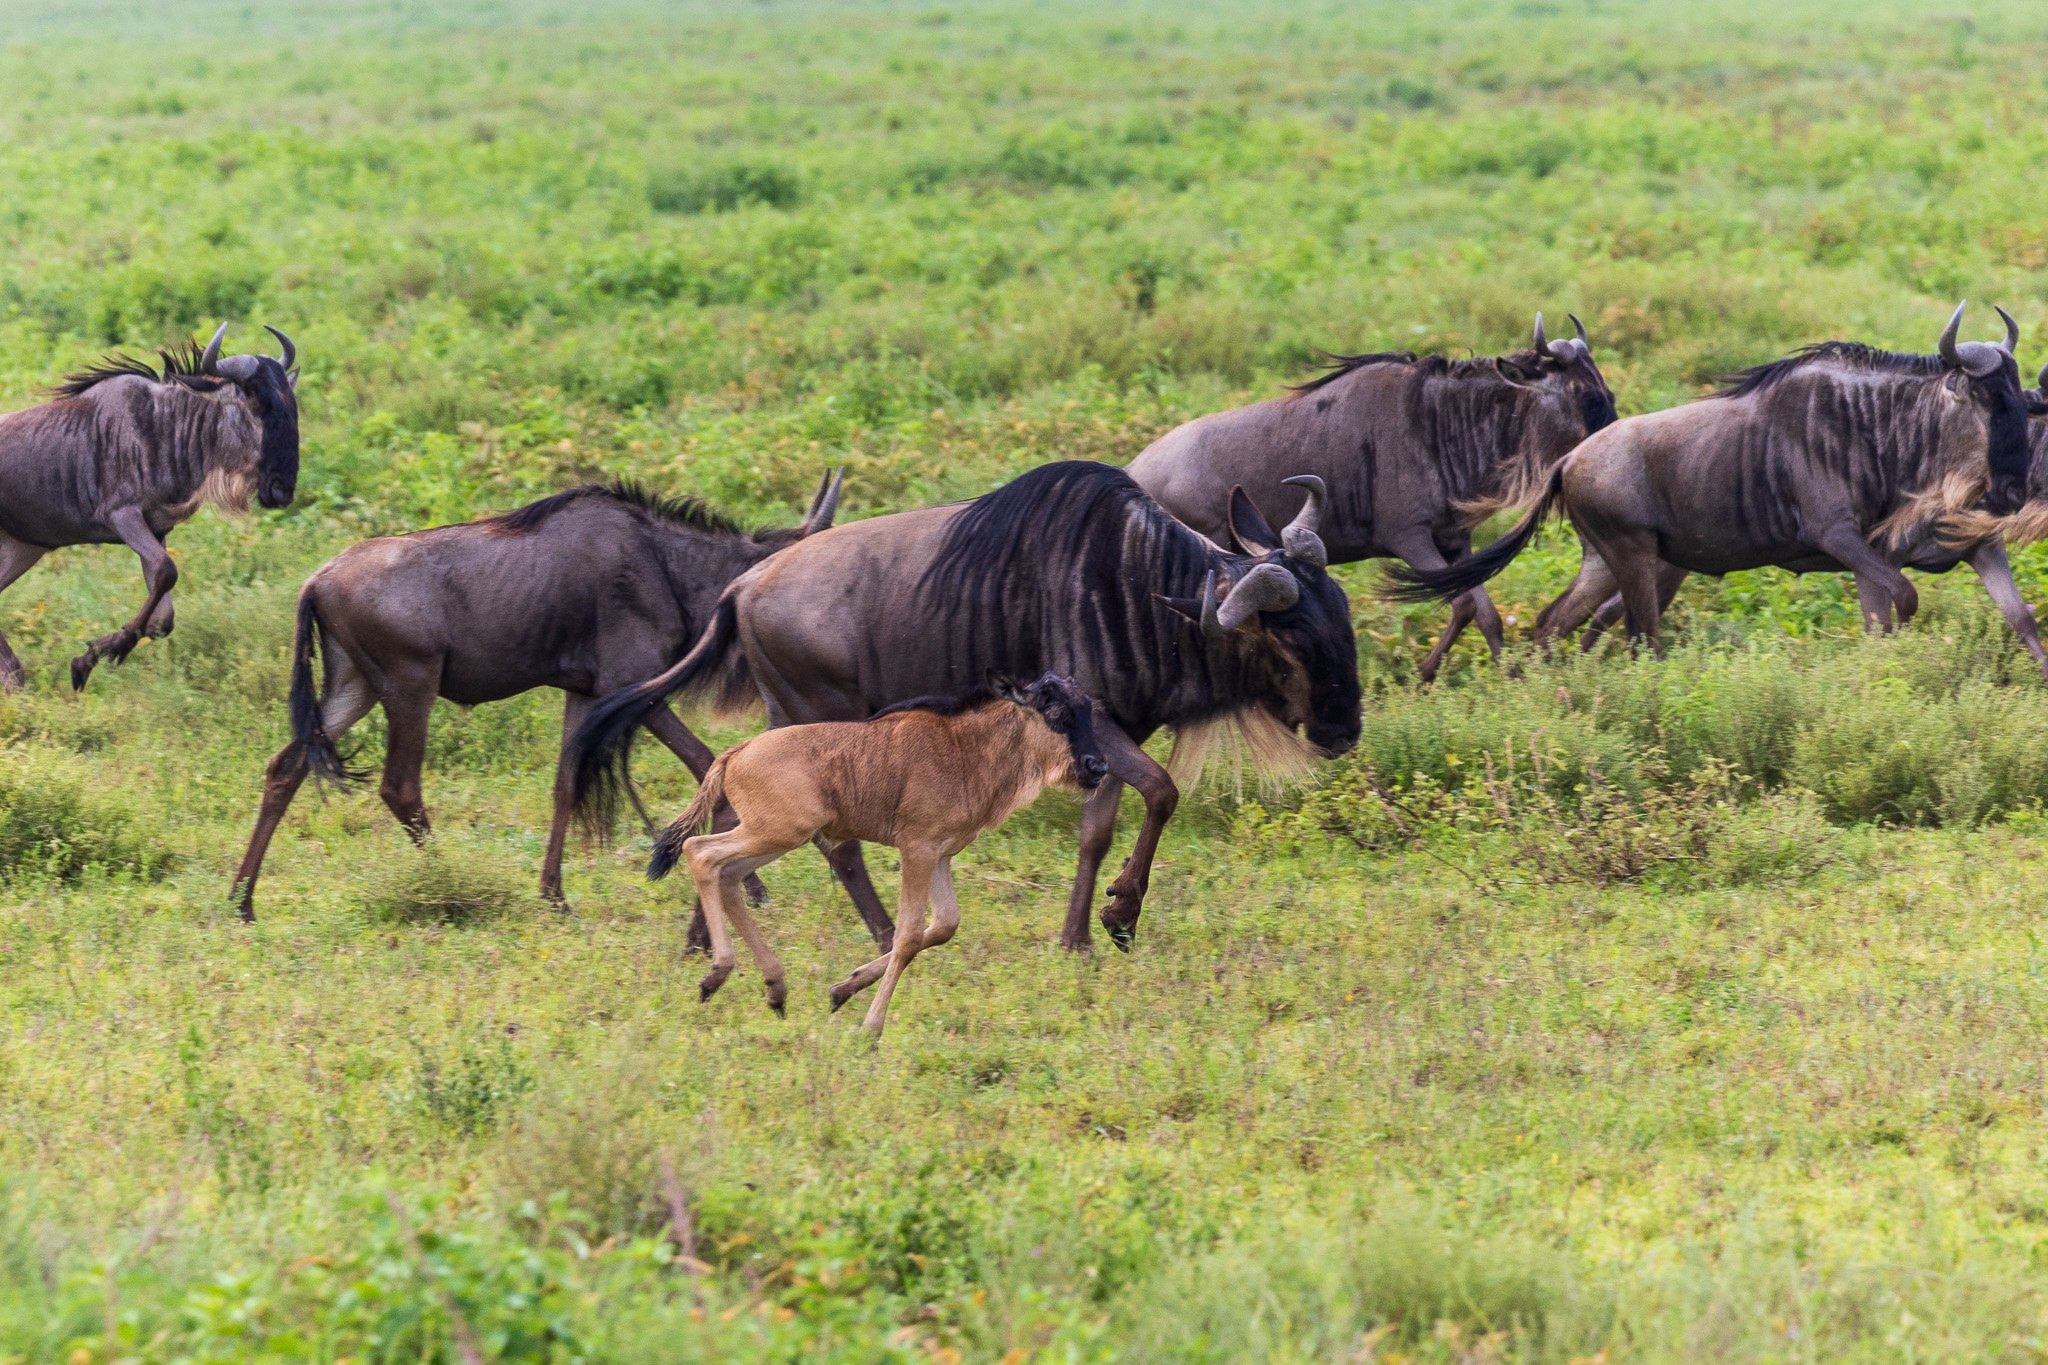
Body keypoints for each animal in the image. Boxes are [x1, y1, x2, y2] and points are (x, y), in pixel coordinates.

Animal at [651, 671, 1105, 1035]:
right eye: (1055, 712)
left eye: (1089, 710)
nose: (1096, 767)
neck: (966, 752)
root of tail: (737, 751)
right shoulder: (918, 848)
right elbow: (908, 936)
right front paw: (870, 1026)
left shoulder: (941, 854)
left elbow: (943, 926)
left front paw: (842, 989)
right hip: (777, 832)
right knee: (700, 852)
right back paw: (717, 975)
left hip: (777, 836)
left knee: (726, 874)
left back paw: (774, 990)